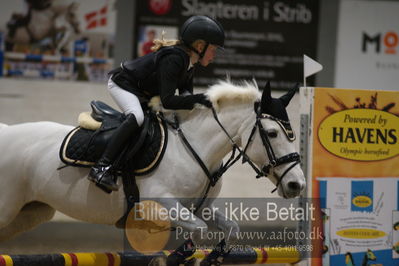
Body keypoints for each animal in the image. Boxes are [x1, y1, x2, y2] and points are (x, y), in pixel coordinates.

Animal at [0, 79, 304, 258]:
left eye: (292, 135)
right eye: (272, 133)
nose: (297, 184)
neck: (192, 146)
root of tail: (6, 131)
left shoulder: (199, 206)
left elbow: (229, 228)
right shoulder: (159, 203)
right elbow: (197, 231)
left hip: (31, 212)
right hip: (8, 208)